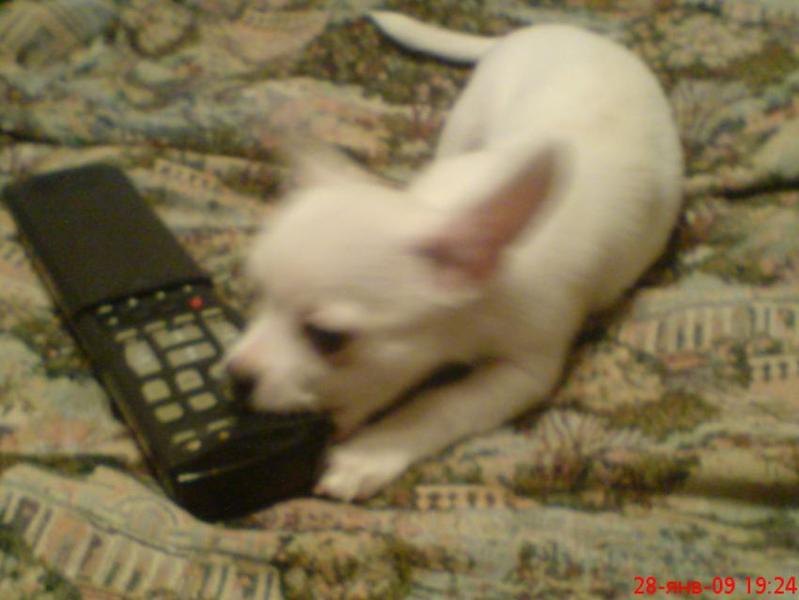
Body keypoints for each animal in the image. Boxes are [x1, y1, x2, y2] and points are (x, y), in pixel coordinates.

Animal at [226, 11, 683, 501]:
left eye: (327, 337)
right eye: (255, 295)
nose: (235, 374)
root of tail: (551, 29)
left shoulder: (524, 371)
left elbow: (441, 404)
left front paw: (369, 453)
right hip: (468, 119)